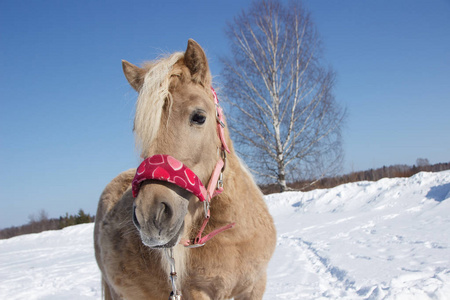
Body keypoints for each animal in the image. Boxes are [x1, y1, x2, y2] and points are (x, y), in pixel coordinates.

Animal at [93, 39, 276, 300]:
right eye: (140, 129)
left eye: (199, 116)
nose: (151, 215)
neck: (233, 235)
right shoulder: (195, 292)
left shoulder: (255, 285)